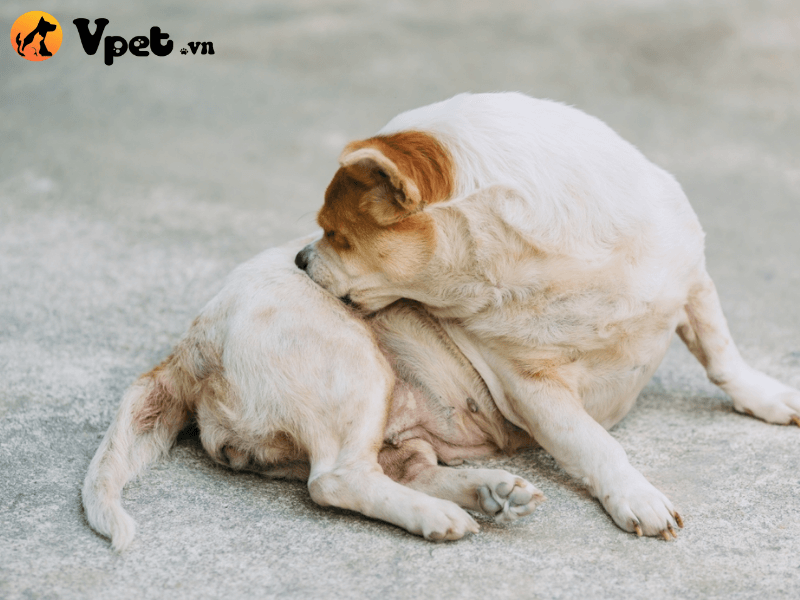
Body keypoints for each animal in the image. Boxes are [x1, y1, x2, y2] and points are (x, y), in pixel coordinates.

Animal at [83, 236, 544, 552]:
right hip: (358, 365)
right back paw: (438, 513)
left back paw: (489, 491)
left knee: (413, 472)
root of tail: (193, 345)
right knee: (336, 479)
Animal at [296, 92, 800, 540]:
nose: (300, 259)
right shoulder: (533, 389)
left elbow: (723, 357)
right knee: (337, 478)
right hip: (358, 377)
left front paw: (766, 397)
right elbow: (596, 443)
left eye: (335, 235)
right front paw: (634, 493)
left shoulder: (692, 283)